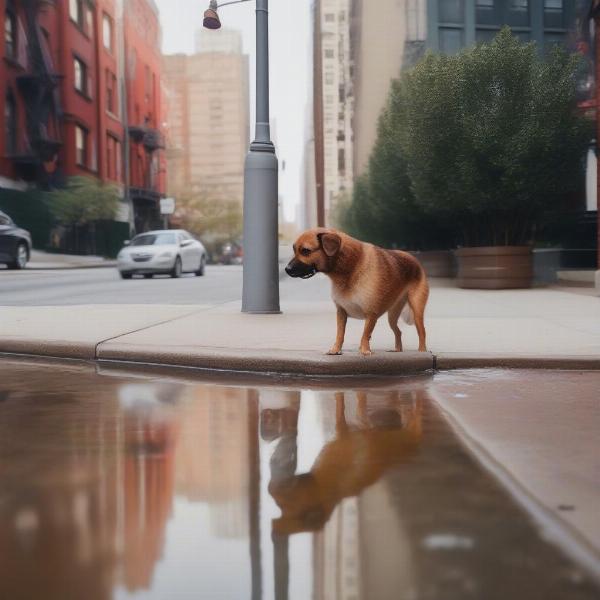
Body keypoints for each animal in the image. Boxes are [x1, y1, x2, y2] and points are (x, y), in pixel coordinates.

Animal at [284, 227, 428, 354]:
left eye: (305, 251)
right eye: (294, 249)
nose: (286, 269)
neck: (350, 267)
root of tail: (413, 258)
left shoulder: (371, 314)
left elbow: (365, 334)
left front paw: (364, 350)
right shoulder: (341, 312)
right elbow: (340, 334)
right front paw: (336, 350)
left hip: (417, 310)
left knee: (422, 332)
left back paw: (422, 351)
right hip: (392, 315)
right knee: (398, 331)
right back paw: (397, 350)